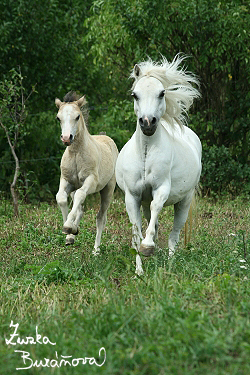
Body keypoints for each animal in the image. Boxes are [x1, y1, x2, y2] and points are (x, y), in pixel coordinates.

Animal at [55, 92, 117, 254]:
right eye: (58, 118)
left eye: (77, 116)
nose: (66, 138)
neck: (76, 154)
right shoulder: (66, 181)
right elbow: (61, 198)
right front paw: (69, 232)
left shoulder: (91, 181)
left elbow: (80, 195)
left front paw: (69, 227)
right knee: (80, 209)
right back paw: (73, 234)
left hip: (108, 190)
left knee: (101, 217)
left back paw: (96, 250)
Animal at [115, 55, 201, 274]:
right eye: (134, 95)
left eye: (161, 93)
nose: (147, 123)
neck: (145, 153)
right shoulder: (133, 197)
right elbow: (136, 231)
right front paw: (139, 270)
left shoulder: (161, 189)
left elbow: (156, 208)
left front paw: (148, 247)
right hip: (145, 203)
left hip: (184, 202)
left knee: (174, 234)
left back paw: (170, 264)